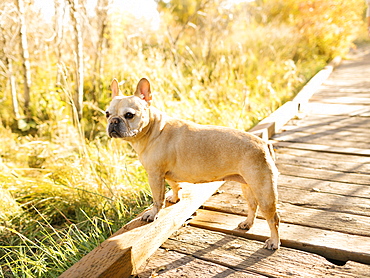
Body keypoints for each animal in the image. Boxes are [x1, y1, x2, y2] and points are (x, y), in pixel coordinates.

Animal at [107, 77, 280, 250]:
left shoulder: (155, 175)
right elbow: (175, 185)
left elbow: (157, 199)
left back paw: (274, 241)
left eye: (129, 115)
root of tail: (264, 144)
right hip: (247, 185)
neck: (153, 129)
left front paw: (153, 213)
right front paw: (175, 198)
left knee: (273, 218)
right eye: (107, 114)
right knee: (252, 205)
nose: (113, 121)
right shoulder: (166, 173)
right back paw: (247, 223)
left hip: (264, 191)